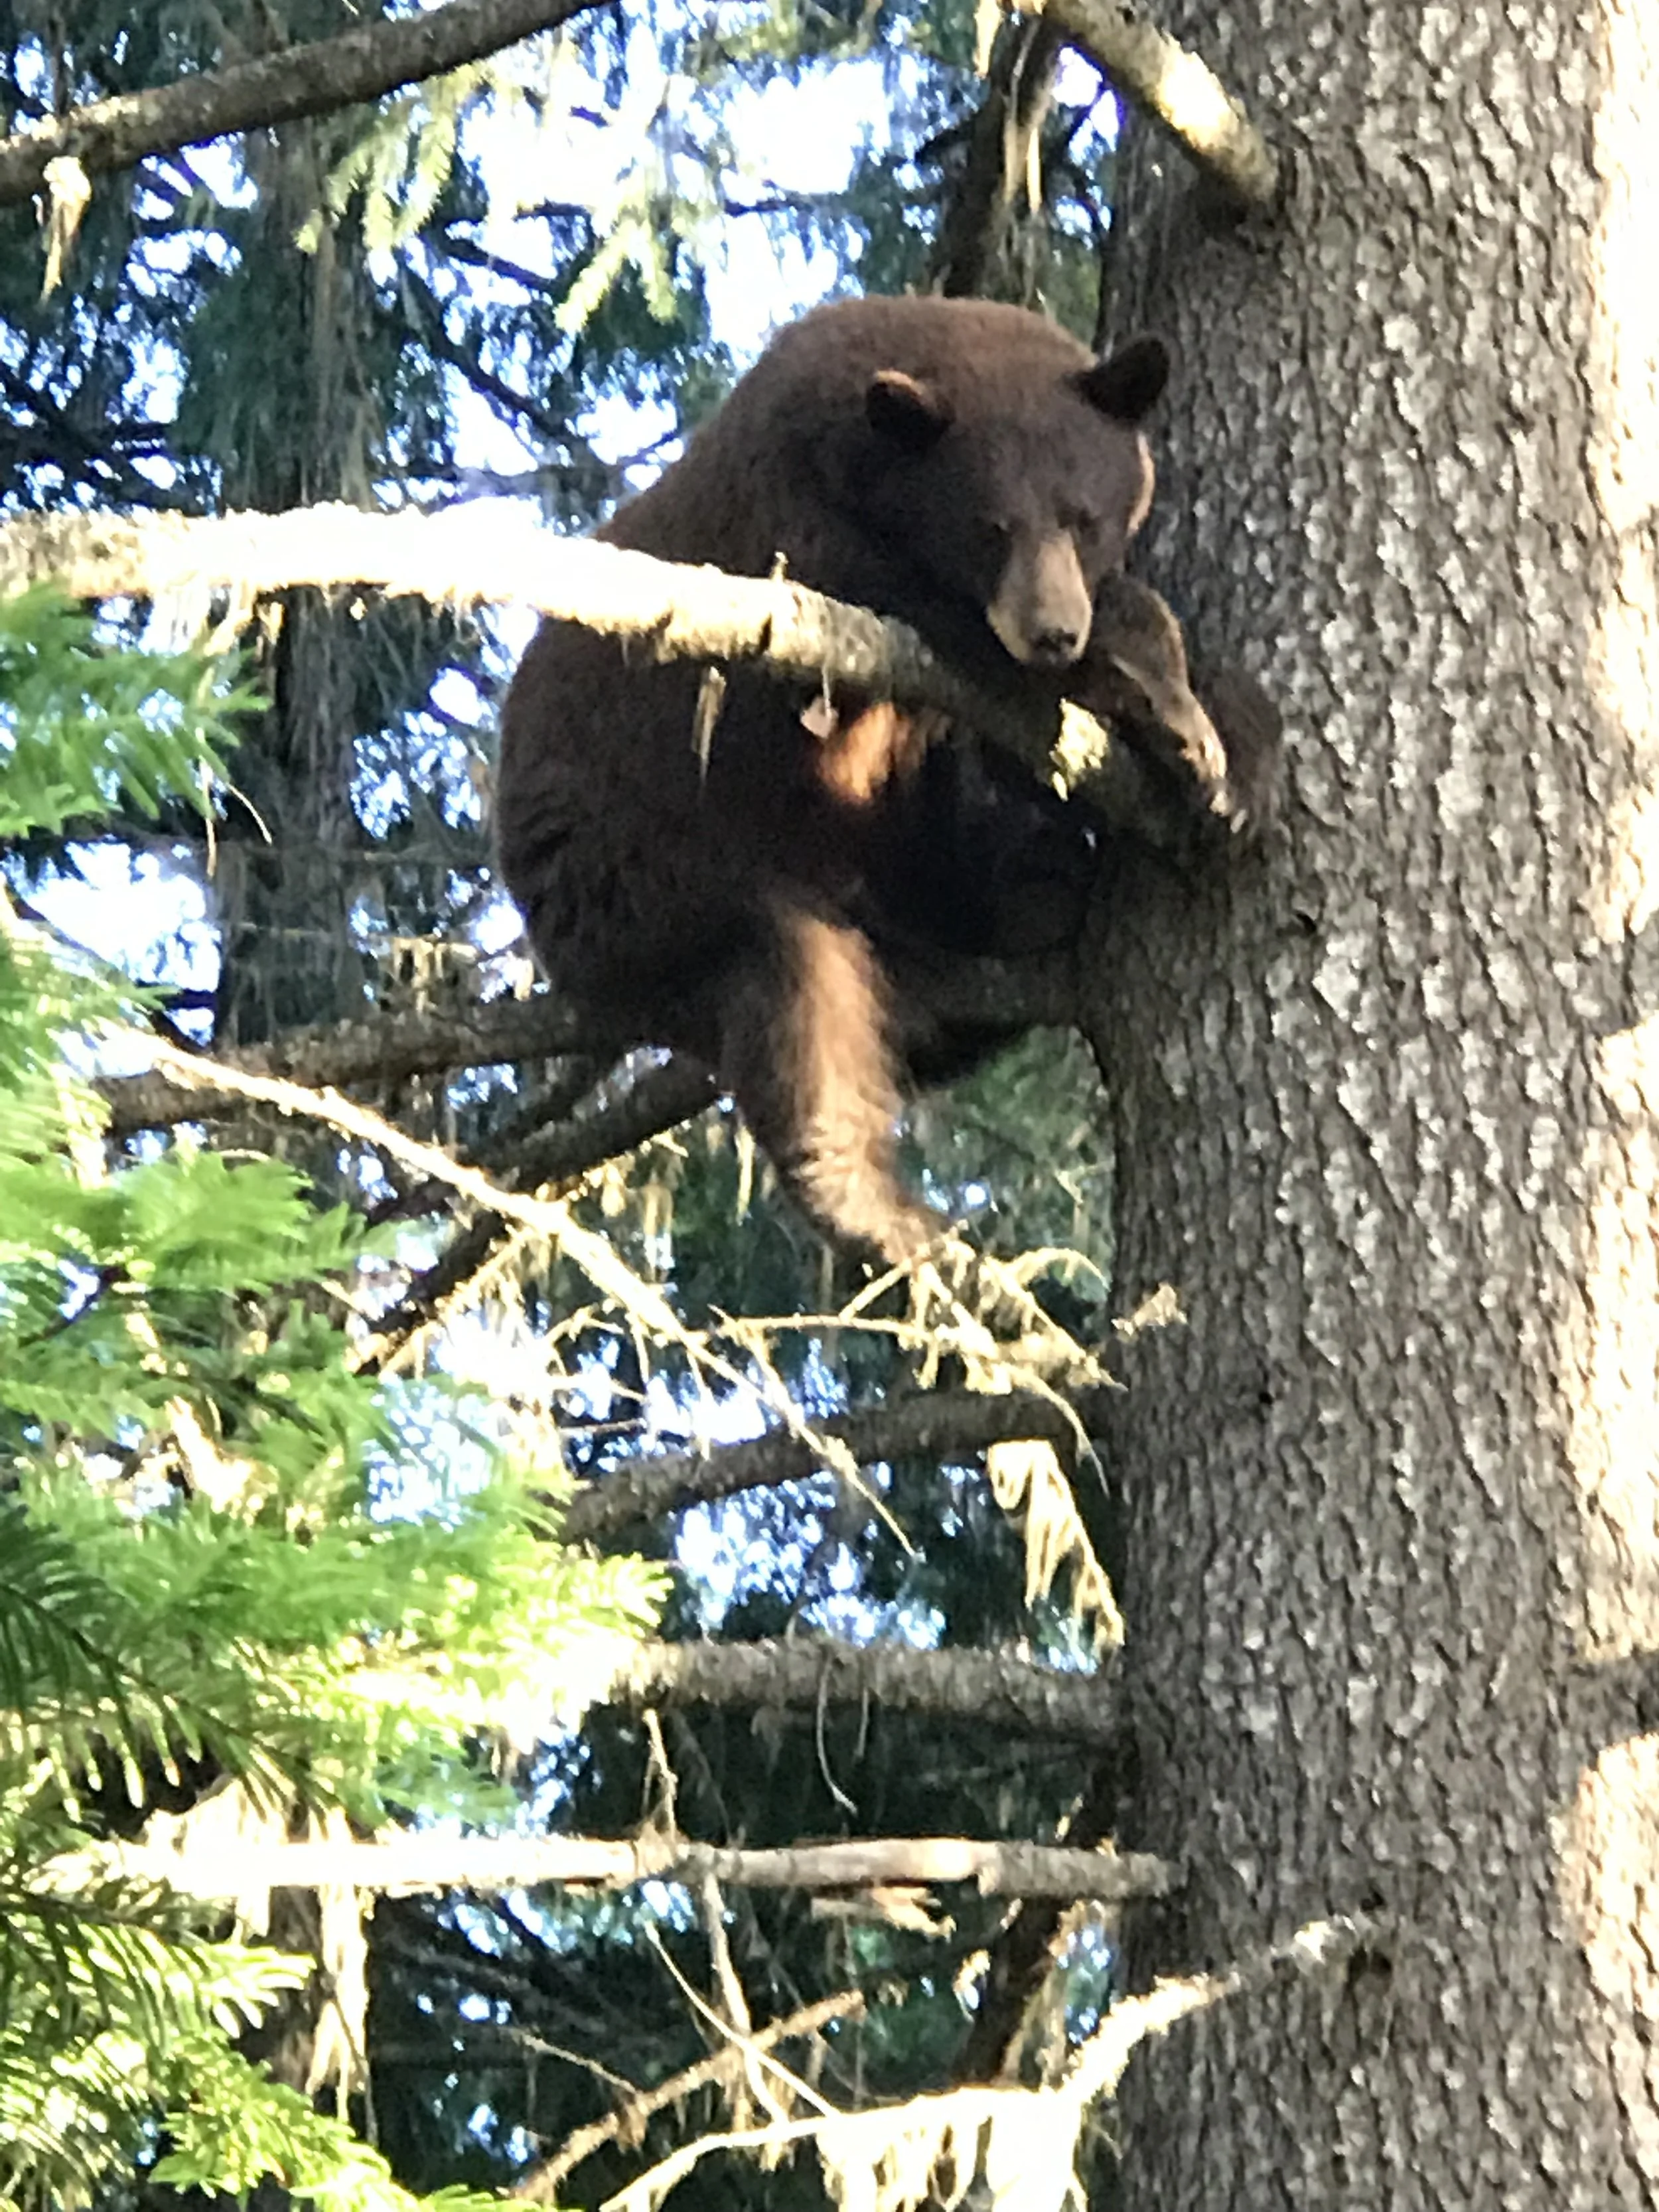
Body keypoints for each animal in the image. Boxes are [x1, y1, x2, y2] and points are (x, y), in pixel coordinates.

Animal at [496, 294, 1275, 1265]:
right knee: (789, 988)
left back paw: (1037, 878)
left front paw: (1227, 752)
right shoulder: (814, 551)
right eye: (990, 527)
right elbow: (966, 638)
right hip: (648, 872)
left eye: (1081, 515)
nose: (1052, 631)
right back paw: (880, 1208)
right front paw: (1159, 696)